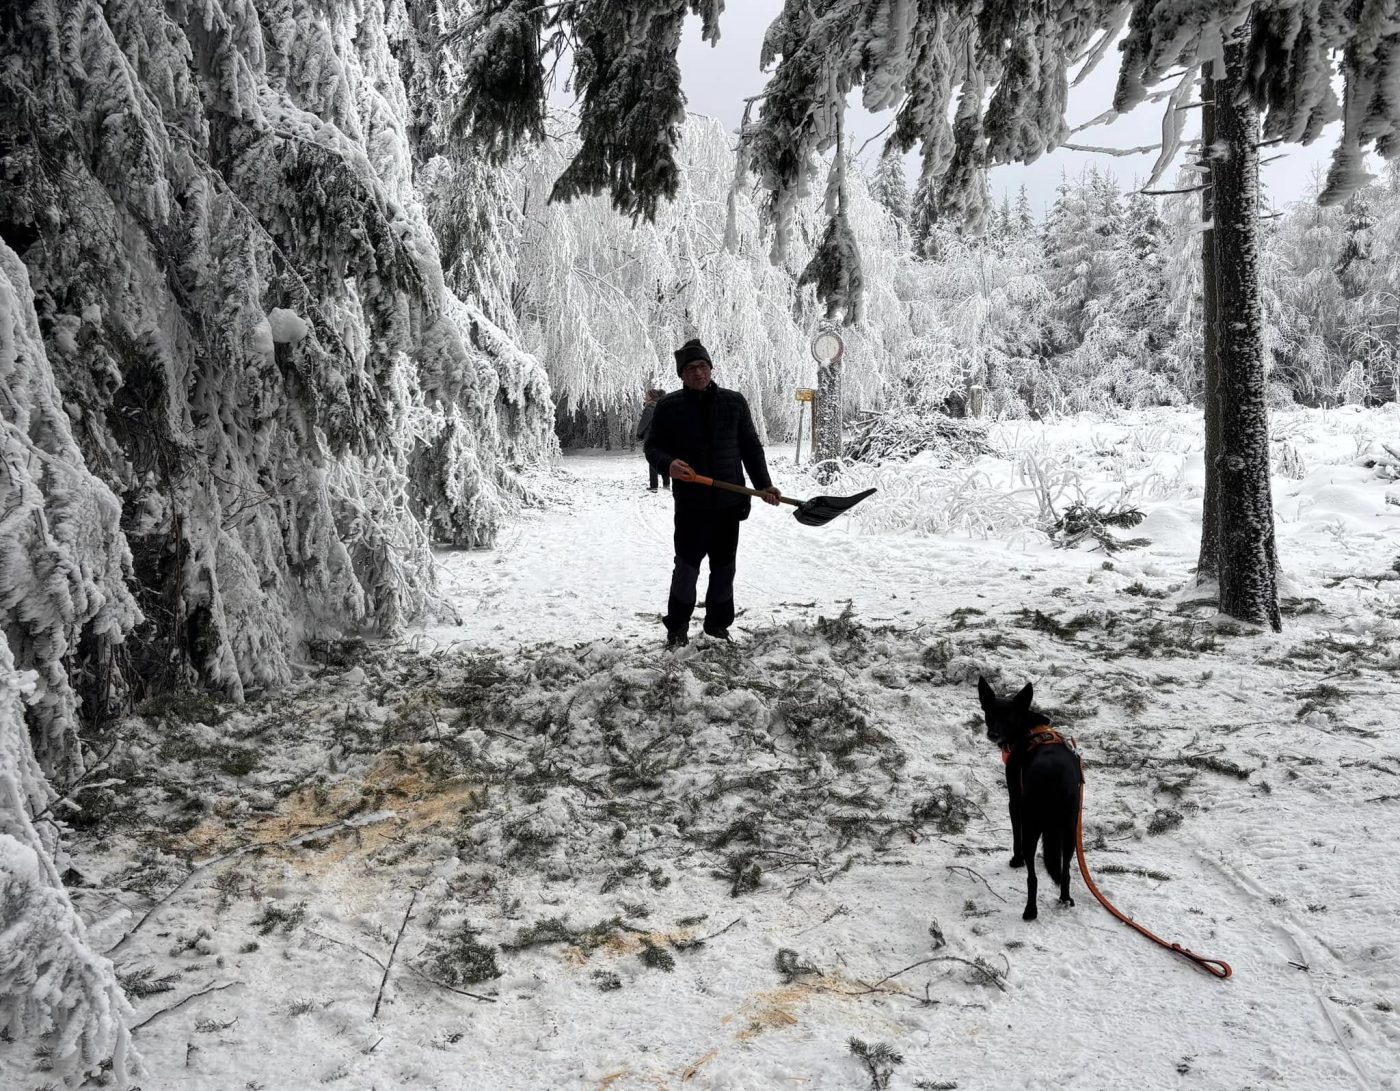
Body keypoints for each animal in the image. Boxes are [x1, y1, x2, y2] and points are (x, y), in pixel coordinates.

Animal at [985, 675, 1080, 924]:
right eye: (990, 715)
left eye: (1008, 718)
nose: (992, 734)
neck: (1029, 729)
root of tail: (1056, 782)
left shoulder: (1015, 800)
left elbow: (1015, 835)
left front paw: (1015, 860)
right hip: (1070, 830)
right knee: (1065, 870)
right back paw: (1065, 899)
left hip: (1032, 824)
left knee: (1033, 877)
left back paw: (1030, 911)